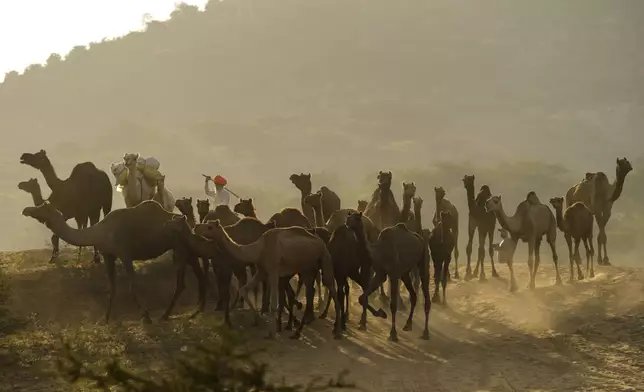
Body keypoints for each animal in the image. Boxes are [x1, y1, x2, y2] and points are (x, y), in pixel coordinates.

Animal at [22, 201, 206, 324]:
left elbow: (133, 285)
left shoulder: (125, 254)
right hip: (186, 247)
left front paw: (146, 316)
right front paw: (106, 318)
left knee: (181, 283)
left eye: (41, 207)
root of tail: (188, 223)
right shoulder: (108, 255)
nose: (26, 209)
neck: (100, 232)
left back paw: (166, 315)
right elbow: (112, 287)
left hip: (179, 246)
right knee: (199, 274)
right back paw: (198, 310)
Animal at [194, 219, 342, 338]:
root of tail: (321, 242)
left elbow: (274, 304)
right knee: (311, 292)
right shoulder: (262, 271)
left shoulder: (273, 271)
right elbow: (243, 289)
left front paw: (271, 333)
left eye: (209, 227)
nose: (196, 227)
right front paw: (257, 320)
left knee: (331, 287)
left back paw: (337, 330)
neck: (259, 249)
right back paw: (298, 331)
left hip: (325, 258)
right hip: (306, 269)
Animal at [344, 211, 430, 344]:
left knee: (425, 288)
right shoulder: (380, 274)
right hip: (405, 273)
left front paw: (393, 334)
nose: (347, 222)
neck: (379, 251)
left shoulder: (393, 275)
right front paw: (381, 314)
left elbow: (393, 305)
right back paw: (408, 325)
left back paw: (425, 333)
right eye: (349, 216)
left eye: (357, 217)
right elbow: (362, 298)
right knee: (413, 296)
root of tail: (420, 239)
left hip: (423, 257)